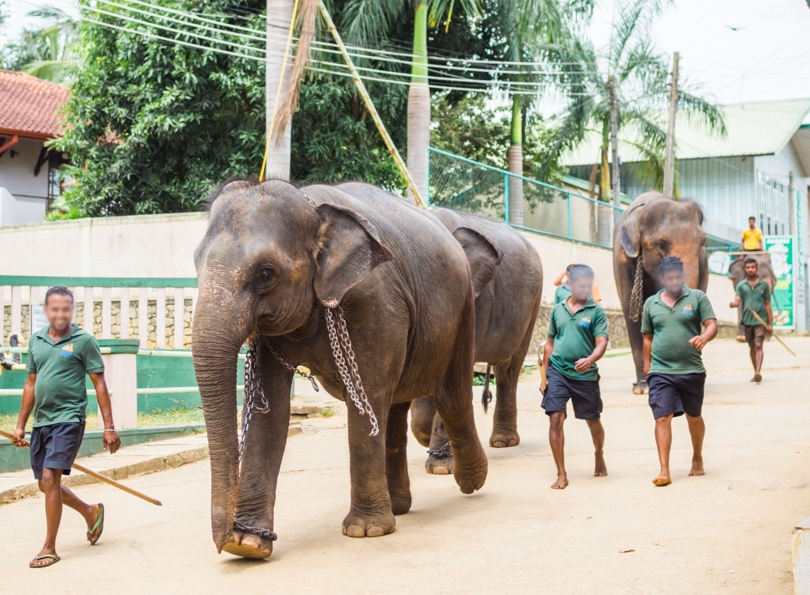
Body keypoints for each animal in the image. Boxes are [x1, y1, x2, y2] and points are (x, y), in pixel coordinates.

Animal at [192, 179, 490, 560]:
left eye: (266, 273)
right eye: (196, 263)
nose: (224, 538)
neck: (313, 208)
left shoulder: (373, 303)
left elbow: (366, 400)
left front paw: (366, 531)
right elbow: (270, 413)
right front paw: (248, 545)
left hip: (463, 311)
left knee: (451, 397)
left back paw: (472, 481)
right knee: (394, 409)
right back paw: (399, 507)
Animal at [410, 210, 544, 474]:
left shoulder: (474, 301)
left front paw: (440, 467)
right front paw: (425, 437)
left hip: (533, 305)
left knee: (509, 369)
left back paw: (503, 442)